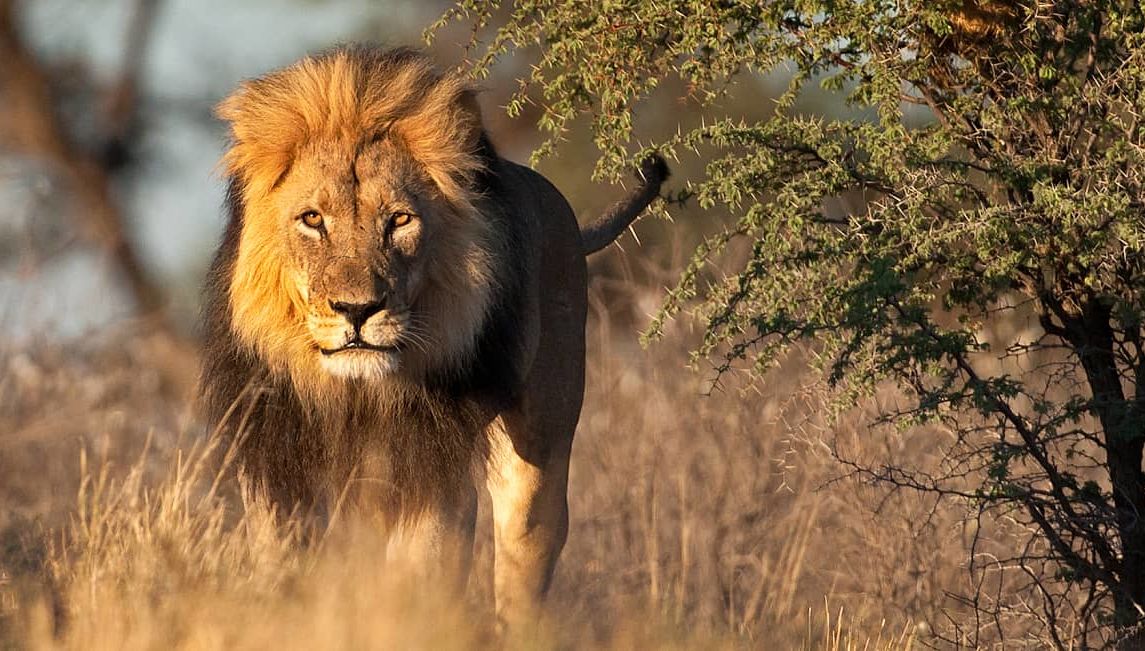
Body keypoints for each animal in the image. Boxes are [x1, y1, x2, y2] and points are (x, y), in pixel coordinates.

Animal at [200, 45, 668, 622]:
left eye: (399, 220)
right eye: (312, 219)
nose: (358, 310)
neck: (355, 393)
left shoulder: (431, 471)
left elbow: (418, 578)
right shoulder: (280, 467)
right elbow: (288, 570)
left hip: (538, 449)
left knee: (523, 555)